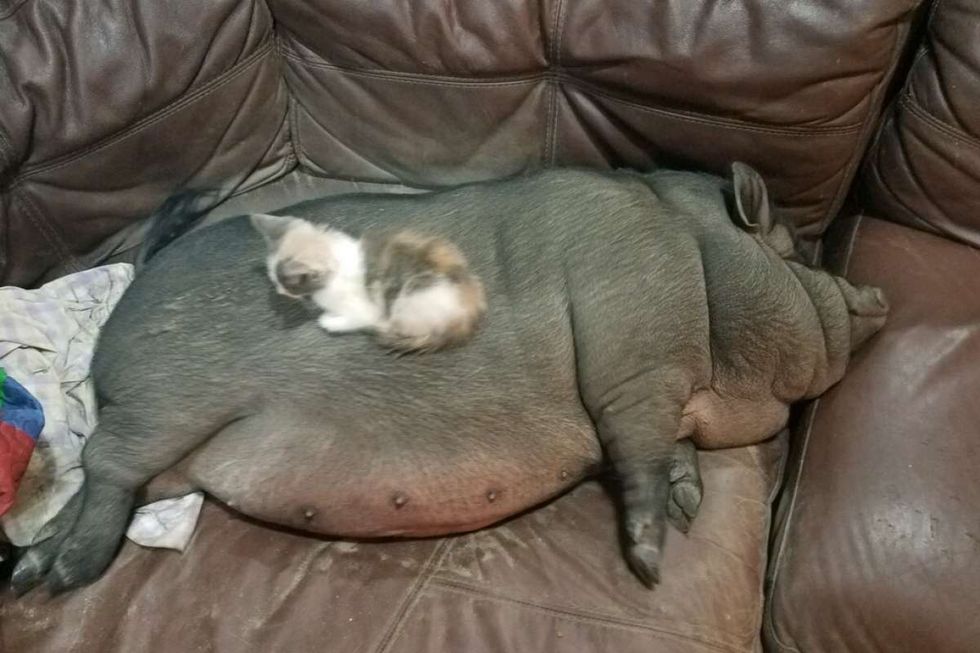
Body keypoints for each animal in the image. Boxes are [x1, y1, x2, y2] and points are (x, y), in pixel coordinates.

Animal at [11, 163, 888, 595]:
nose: (878, 292)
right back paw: (55, 582)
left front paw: (690, 501)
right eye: (796, 251)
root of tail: (138, 275)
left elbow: (668, 451)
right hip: (167, 402)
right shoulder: (633, 359)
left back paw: (27, 569)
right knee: (103, 467)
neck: (701, 262)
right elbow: (638, 447)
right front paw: (649, 561)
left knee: (107, 487)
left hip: (174, 448)